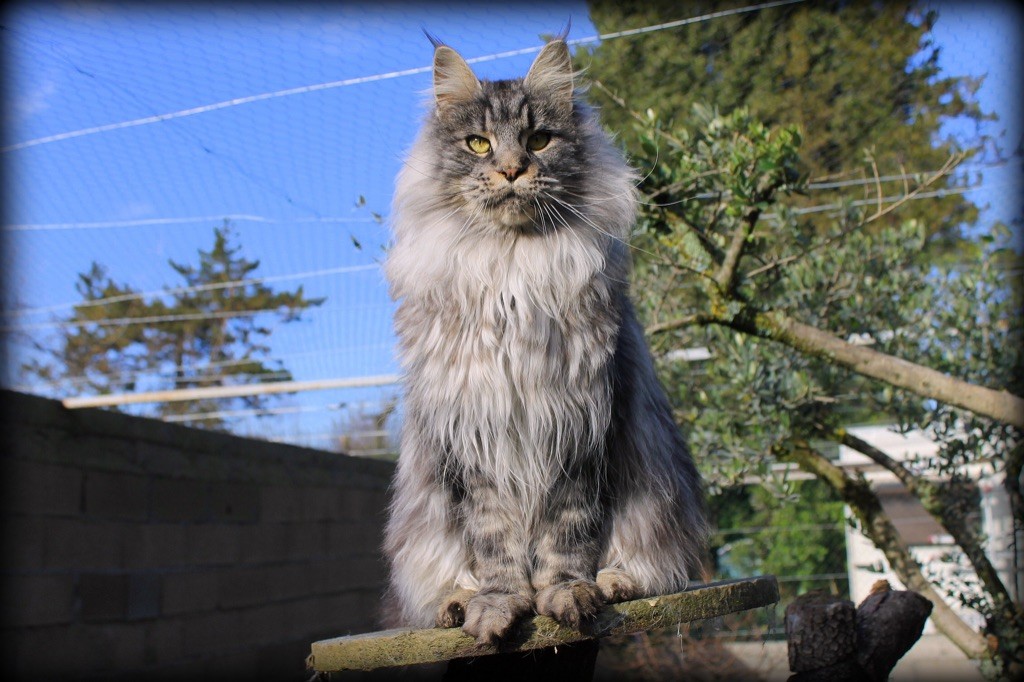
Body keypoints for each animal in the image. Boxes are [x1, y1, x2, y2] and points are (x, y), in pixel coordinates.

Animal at [380, 38, 708, 643]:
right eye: (479, 143)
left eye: (539, 140)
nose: (511, 169)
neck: (513, 271)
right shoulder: (477, 437)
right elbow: (495, 546)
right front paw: (500, 605)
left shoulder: (581, 424)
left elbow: (567, 537)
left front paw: (565, 594)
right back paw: (456, 603)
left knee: (648, 564)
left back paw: (614, 581)